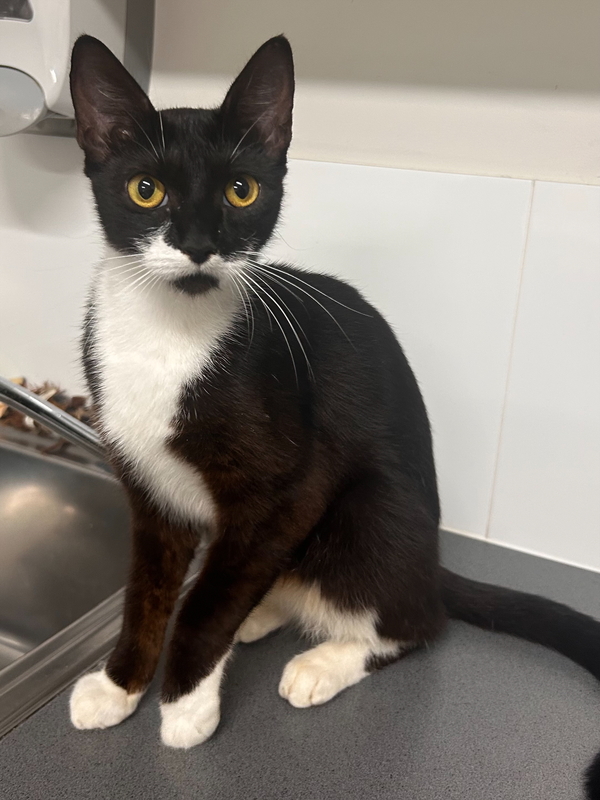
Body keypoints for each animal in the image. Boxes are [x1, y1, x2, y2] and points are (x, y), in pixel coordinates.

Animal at [68, 34, 600, 796]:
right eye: (147, 189)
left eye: (241, 190)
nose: (199, 243)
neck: (170, 334)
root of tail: (430, 562)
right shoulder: (147, 487)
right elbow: (147, 591)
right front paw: (118, 688)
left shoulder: (289, 485)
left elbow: (203, 605)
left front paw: (185, 706)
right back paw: (262, 613)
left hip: (370, 513)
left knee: (416, 620)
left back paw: (322, 661)